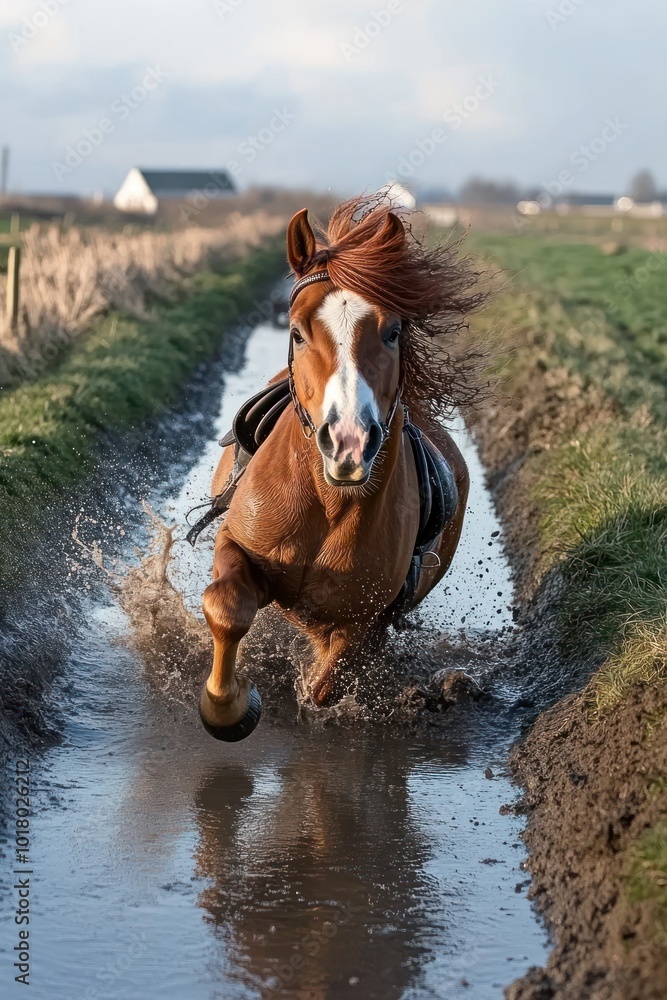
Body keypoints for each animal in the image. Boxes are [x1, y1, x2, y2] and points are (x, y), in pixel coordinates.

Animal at [196, 197, 482, 741]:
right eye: (296, 332)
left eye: (392, 332)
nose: (349, 443)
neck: (326, 500)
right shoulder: (237, 546)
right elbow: (226, 607)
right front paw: (229, 707)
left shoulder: (362, 621)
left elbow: (325, 684)